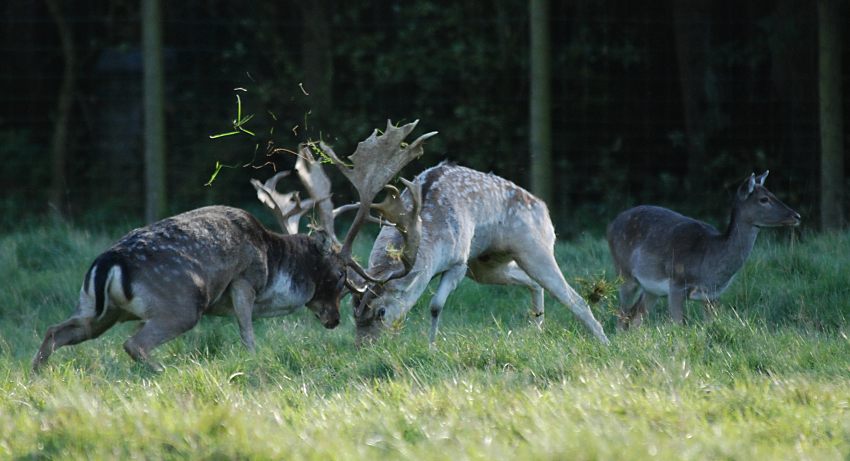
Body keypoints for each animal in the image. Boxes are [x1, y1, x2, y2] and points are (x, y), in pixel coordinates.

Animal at [32, 119, 430, 370]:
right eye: (337, 279)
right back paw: (162, 372)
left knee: (55, 330)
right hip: (181, 304)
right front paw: (254, 361)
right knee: (134, 344)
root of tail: (107, 264)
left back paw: (37, 378)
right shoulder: (244, 280)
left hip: (99, 311)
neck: (274, 261)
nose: (333, 320)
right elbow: (247, 333)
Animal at [344, 162, 608, 344]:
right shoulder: (467, 265)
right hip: (485, 266)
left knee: (574, 299)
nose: (364, 348)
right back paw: (537, 329)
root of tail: (545, 209)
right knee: (533, 283)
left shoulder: (459, 262)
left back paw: (604, 342)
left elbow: (435, 305)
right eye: (353, 314)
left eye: (381, 312)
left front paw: (432, 346)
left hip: (535, 248)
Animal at [608, 171, 800, 328]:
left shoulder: (712, 296)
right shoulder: (677, 284)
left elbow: (711, 325)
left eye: (773, 193)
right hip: (624, 272)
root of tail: (611, 225)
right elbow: (679, 325)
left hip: (651, 289)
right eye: (764, 199)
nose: (796, 215)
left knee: (635, 317)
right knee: (622, 317)